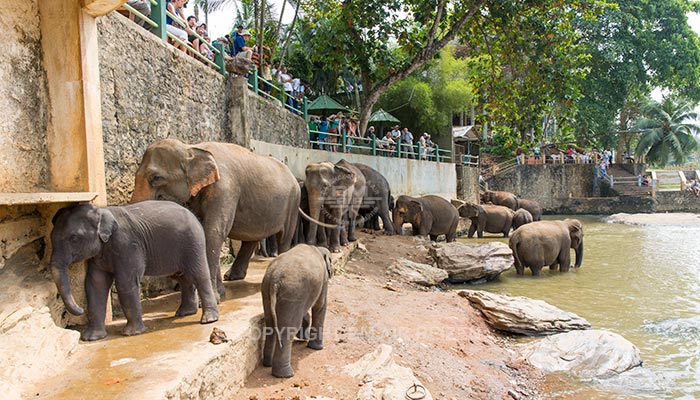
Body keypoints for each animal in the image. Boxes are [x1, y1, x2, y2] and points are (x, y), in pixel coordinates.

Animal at [49, 202, 217, 342]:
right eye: (50, 237)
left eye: (74, 238)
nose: (79, 310)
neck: (102, 210)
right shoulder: (100, 254)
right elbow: (95, 284)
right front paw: (91, 338)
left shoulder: (127, 245)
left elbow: (125, 282)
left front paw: (131, 333)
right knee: (182, 276)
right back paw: (185, 312)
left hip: (193, 242)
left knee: (199, 275)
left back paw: (208, 319)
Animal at [130, 138, 300, 296]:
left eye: (156, 178)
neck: (191, 148)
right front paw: (220, 292)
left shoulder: (225, 187)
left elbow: (214, 231)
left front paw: (210, 298)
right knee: (252, 237)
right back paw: (232, 277)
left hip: (293, 202)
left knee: (284, 237)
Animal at [262, 244, 332, 378]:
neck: (317, 248)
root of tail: (275, 278)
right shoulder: (323, 280)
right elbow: (320, 305)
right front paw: (317, 348)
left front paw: (304, 338)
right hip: (292, 292)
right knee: (288, 330)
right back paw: (286, 375)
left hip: (267, 292)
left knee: (270, 324)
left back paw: (267, 364)